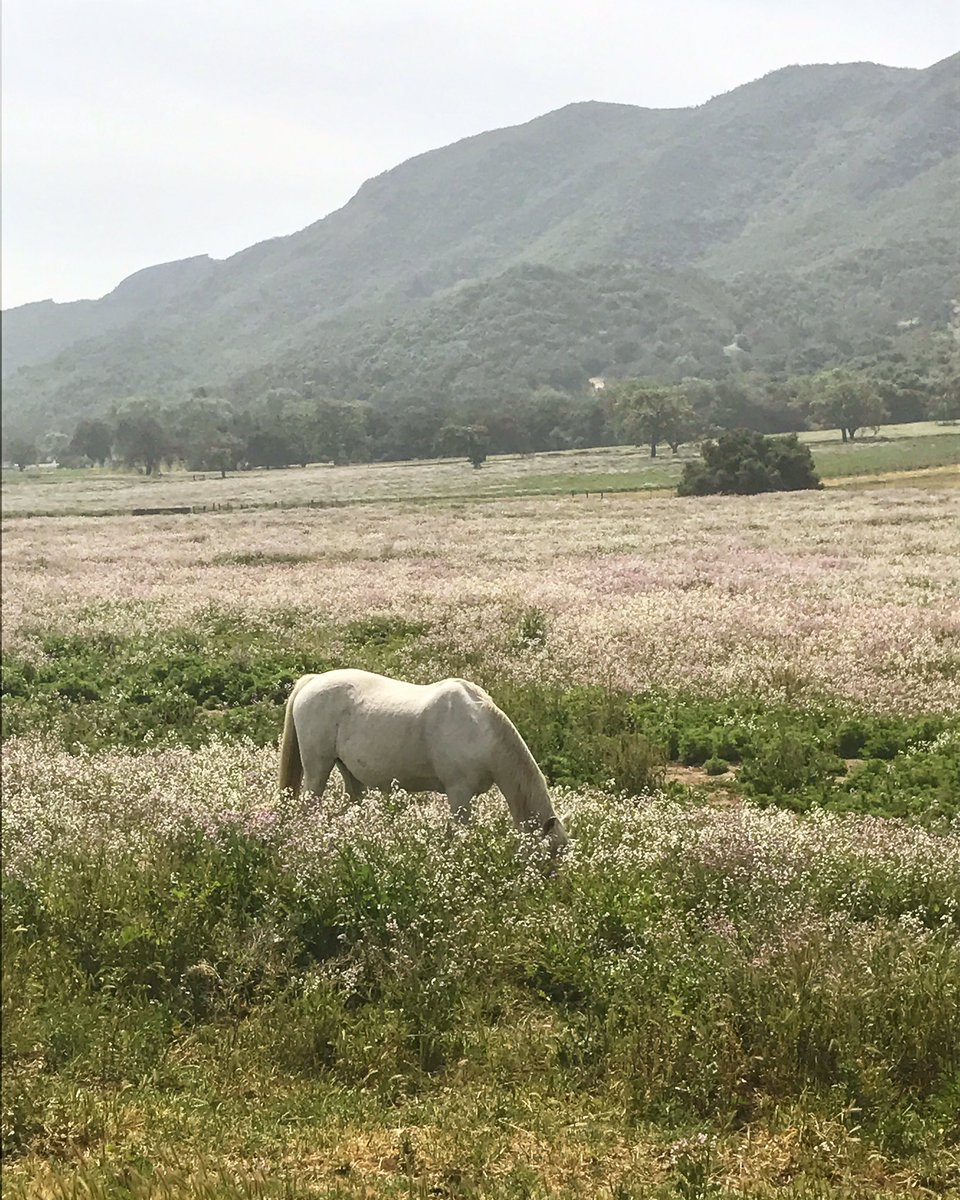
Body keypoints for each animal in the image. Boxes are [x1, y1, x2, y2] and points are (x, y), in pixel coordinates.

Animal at [276, 667, 571, 854]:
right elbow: (456, 835)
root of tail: (311, 681)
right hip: (318, 769)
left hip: (349, 772)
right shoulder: (459, 794)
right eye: (550, 853)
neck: (480, 730)